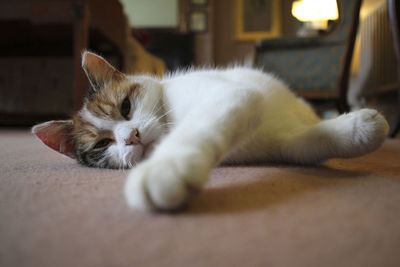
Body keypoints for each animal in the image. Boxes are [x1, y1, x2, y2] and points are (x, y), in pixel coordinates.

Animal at [32, 51, 390, 213]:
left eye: (126, 107)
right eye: (102, 145)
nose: (130, 136)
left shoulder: (233, 96)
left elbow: (195, 130)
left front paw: (165, 167)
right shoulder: (280, 142)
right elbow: (306, 143)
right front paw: (357, 130)